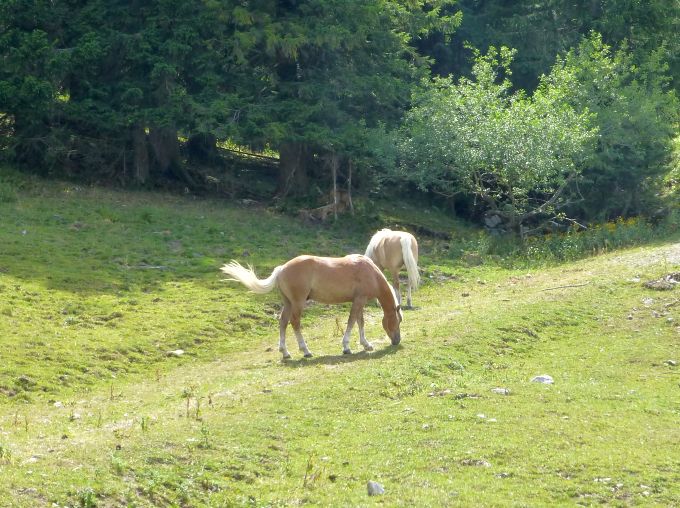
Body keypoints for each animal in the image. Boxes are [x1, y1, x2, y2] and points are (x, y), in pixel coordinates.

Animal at [220, 254, 403, 359]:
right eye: (398, 321)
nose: (397, 341)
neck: (369, 271)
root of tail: (282, 269)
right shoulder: (359, 300)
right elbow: (352, 322)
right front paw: (346, 347)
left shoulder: (358, 301)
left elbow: (359, 322)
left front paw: (366, 344)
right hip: (298, 303)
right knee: (295, 323)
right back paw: (305, 351)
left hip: (288, 303)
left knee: (283, 322)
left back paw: (285, 352)